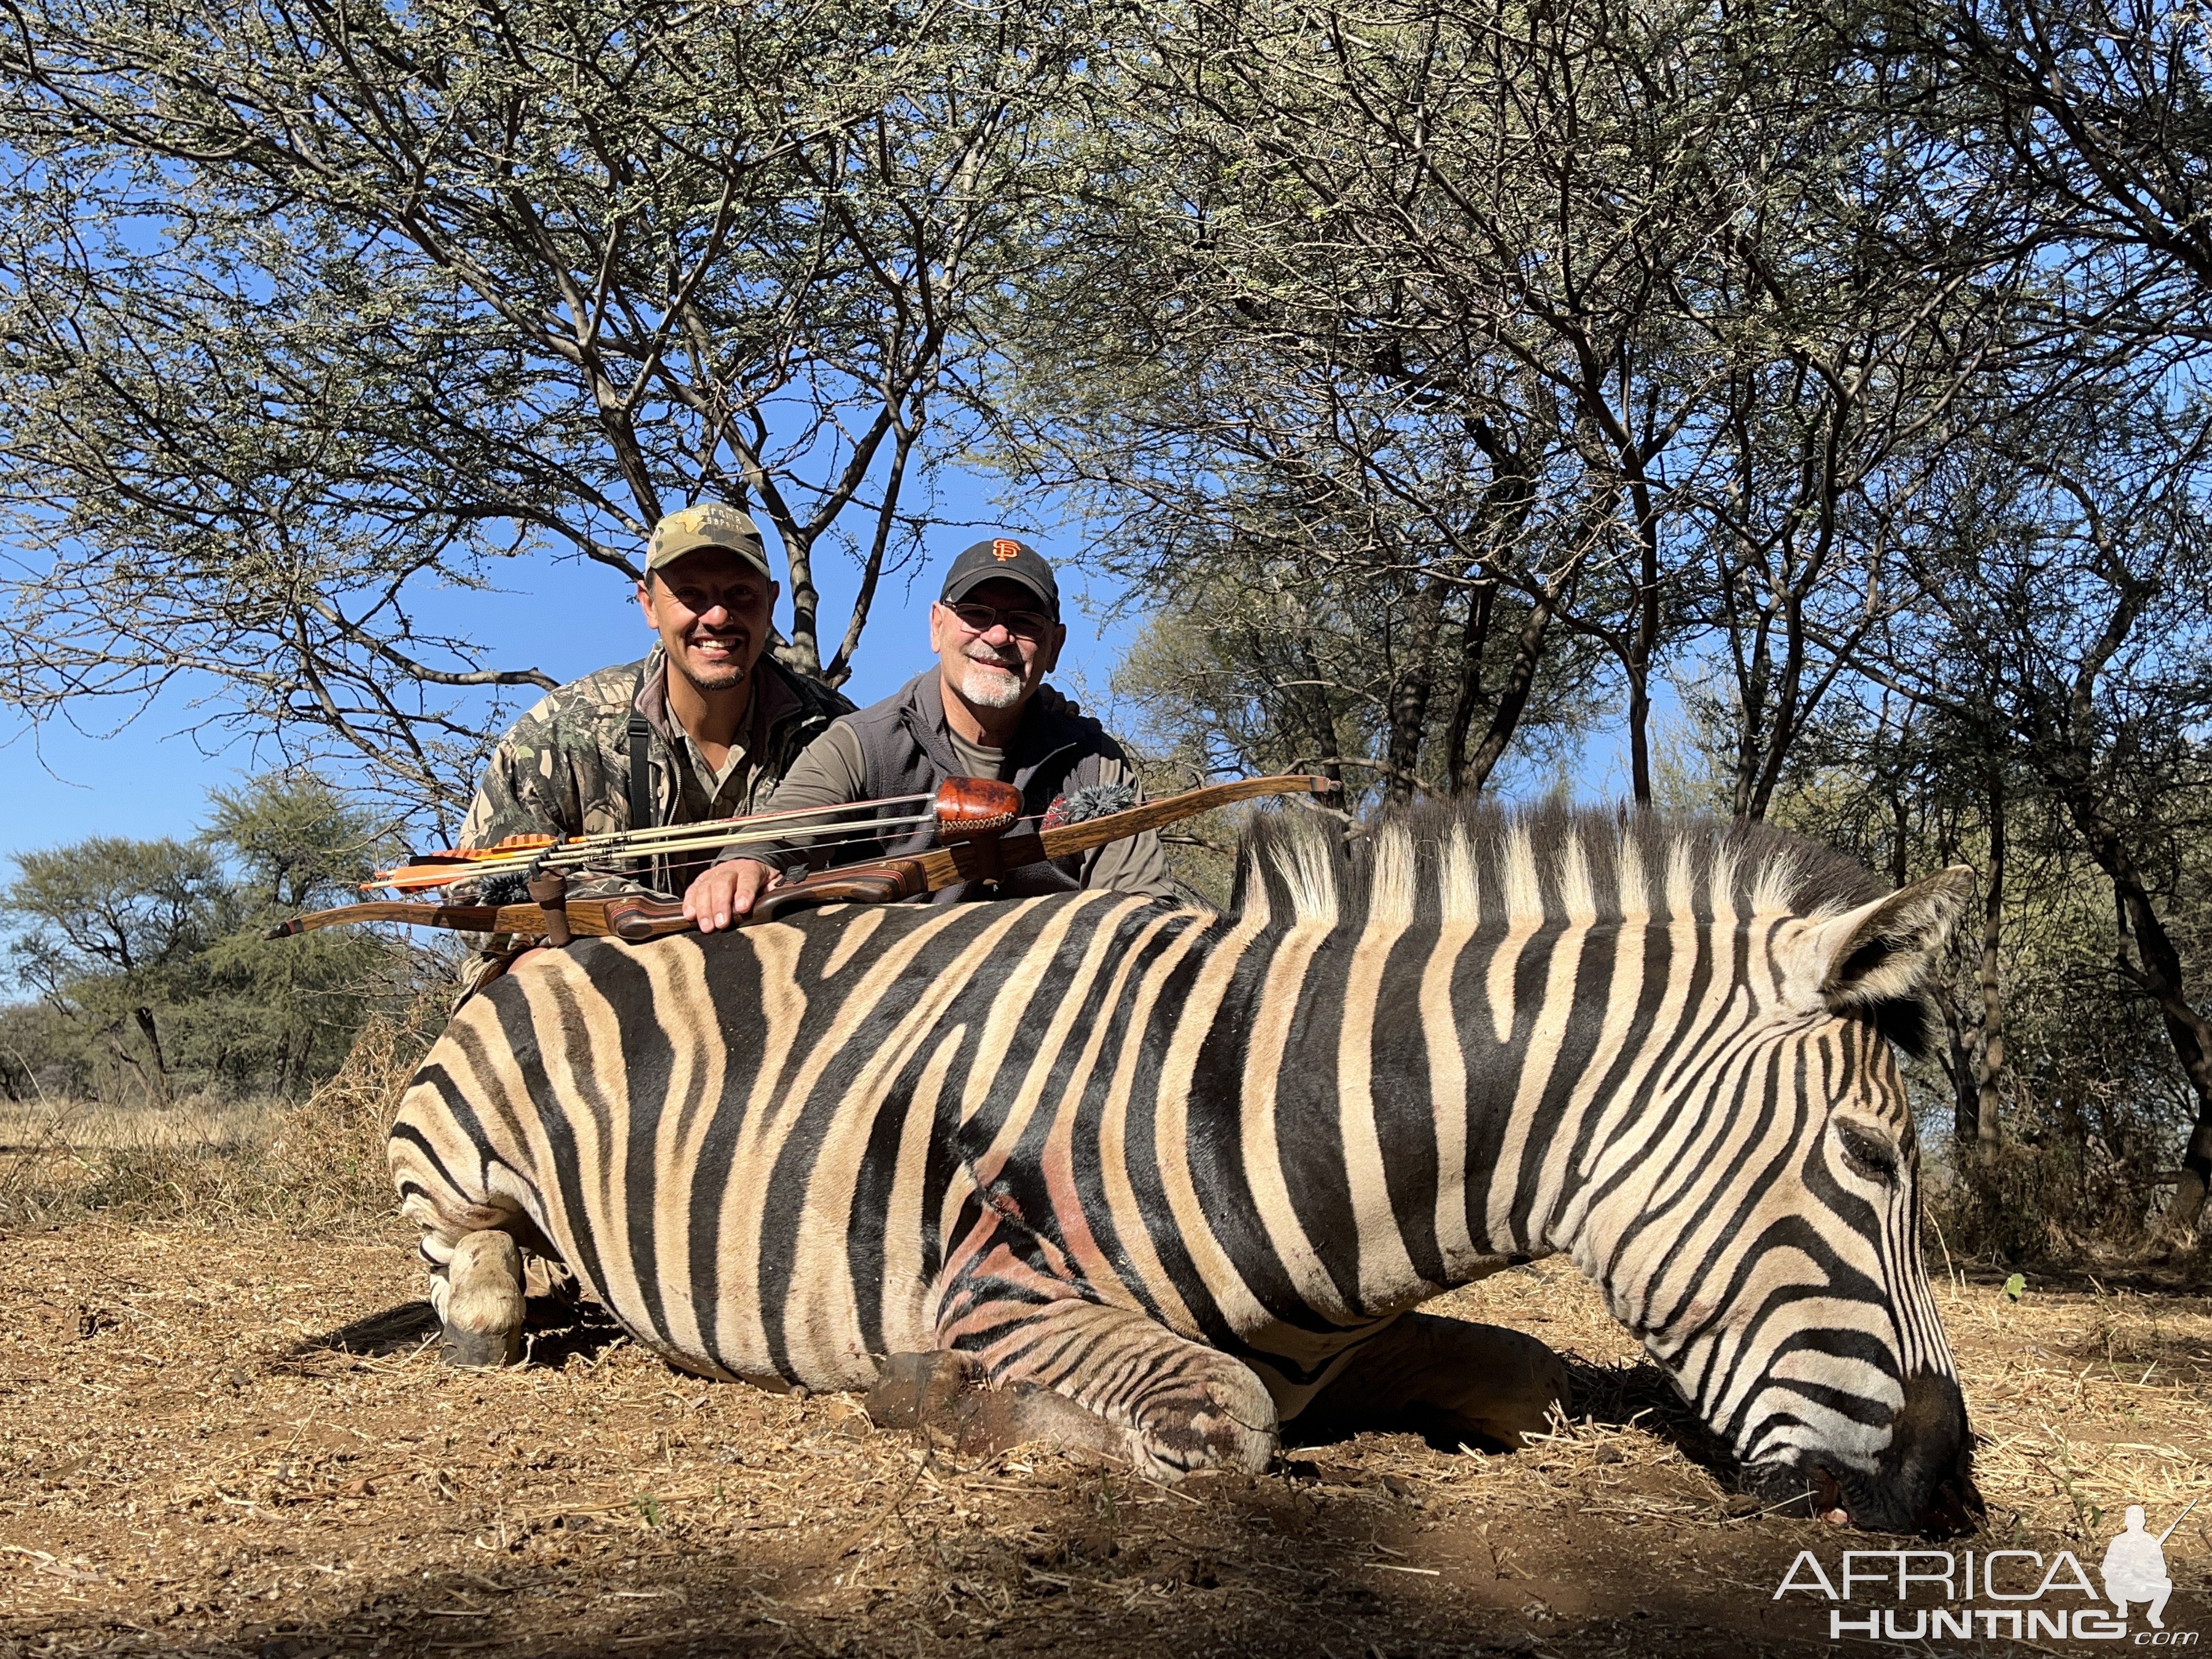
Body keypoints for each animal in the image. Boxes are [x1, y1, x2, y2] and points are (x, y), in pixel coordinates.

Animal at [393, 800, 1990, 1531]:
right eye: (1873, 1157)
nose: (1944, 1488)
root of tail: (568, 928)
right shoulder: (1001, 1291)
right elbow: (1220, 1421)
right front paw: (935, 1406)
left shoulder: (1362, 1338)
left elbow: (1533, 1382)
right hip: (453, 1144)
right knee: (478, 1282)